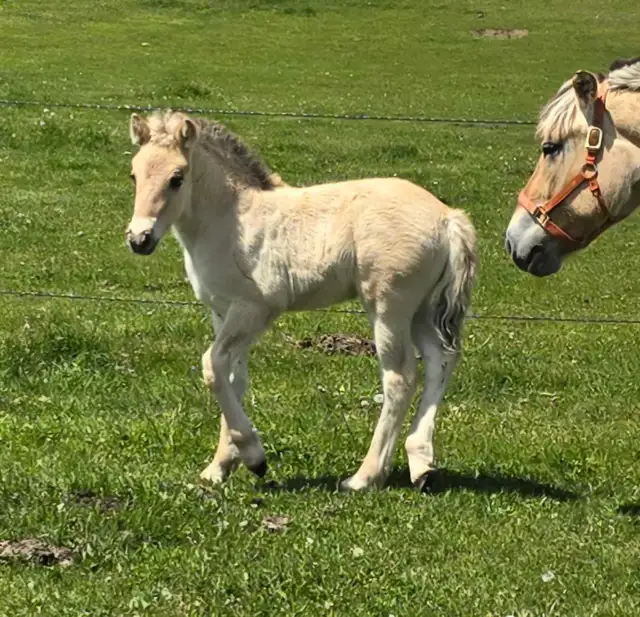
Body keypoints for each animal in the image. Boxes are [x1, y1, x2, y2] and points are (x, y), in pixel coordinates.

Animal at [125, 111, 476, 491]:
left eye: (177, 177)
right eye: (134, 174)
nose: (139, 239)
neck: (230, 220)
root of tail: (448, 218)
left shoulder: (254, 309)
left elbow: (212, 366)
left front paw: (254, 457)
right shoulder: (222, 311)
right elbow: (232, 377)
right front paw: (219, 467)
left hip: (388, 307)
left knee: (400, 378)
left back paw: (364, 477)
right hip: (421, 310)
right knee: (441, 360)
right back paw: (421, 464)